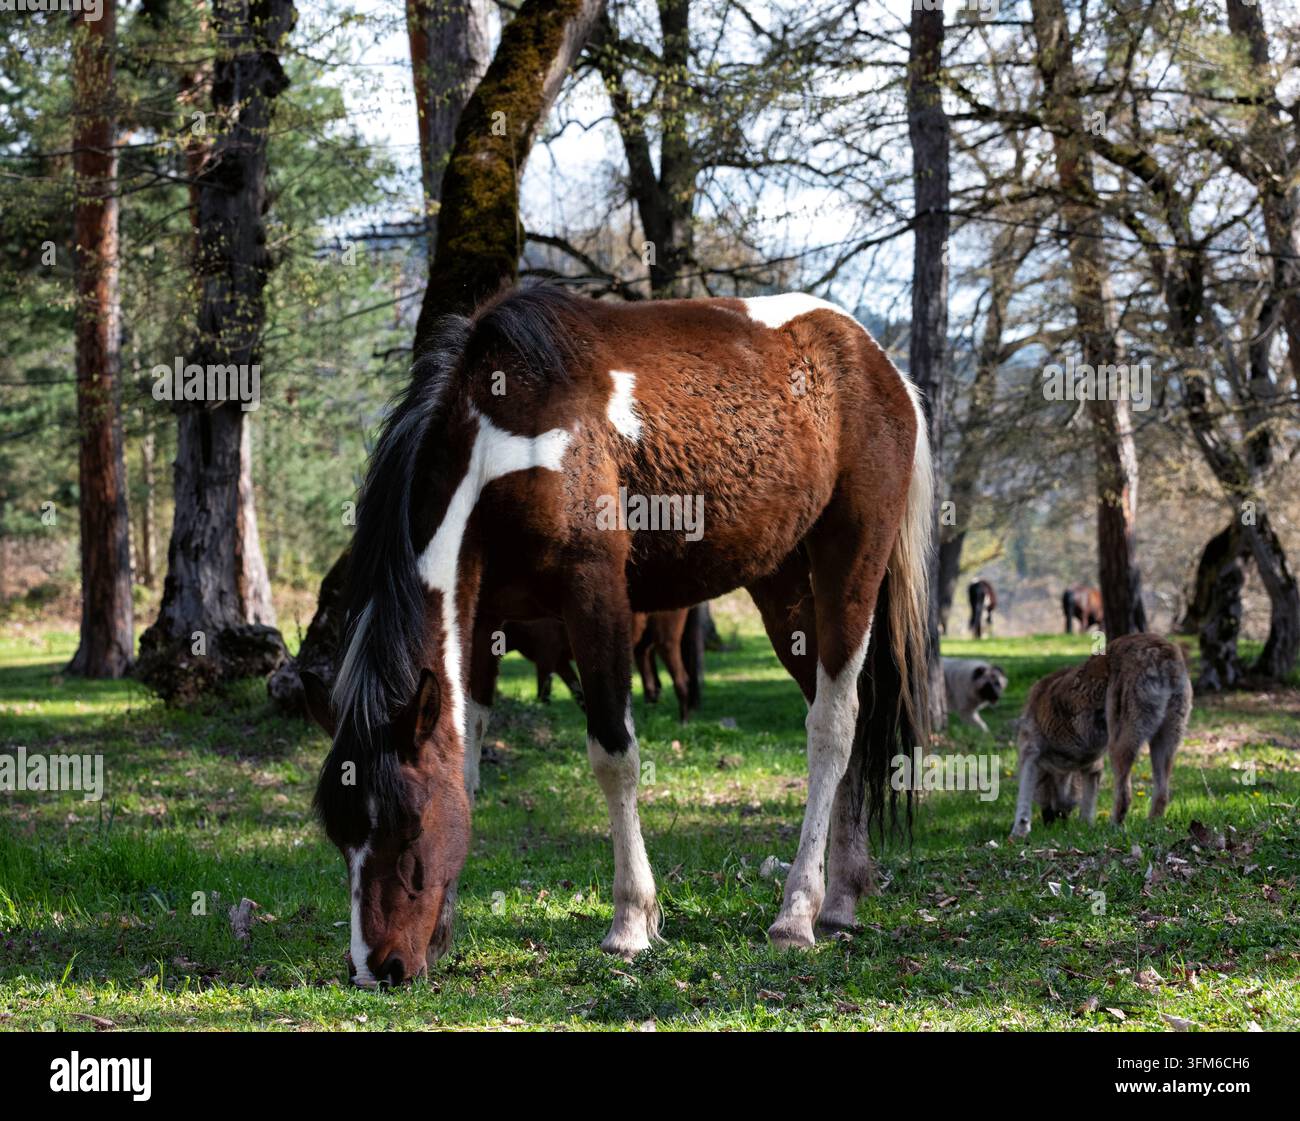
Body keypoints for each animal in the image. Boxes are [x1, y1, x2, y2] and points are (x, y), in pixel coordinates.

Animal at [302, 285, 932, 986]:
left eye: (410, 827)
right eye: (341, 834)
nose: (377, 967)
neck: (504, 434)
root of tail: (882, 365)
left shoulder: (595, 595)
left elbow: (614, 755)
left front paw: (632, 921)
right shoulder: (483, 623)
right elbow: (465, 759)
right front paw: (442, 932)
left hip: (850, 565)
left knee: (834, 726)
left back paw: (797, 914)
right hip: (786, 590)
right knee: (845, 722)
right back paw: (843, 897)